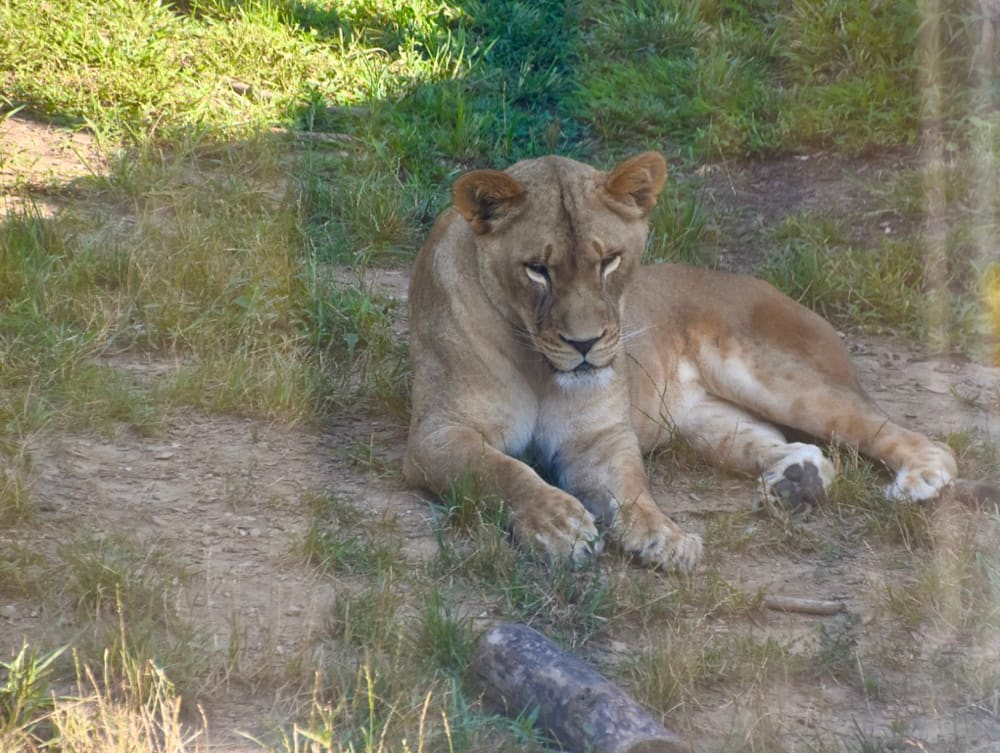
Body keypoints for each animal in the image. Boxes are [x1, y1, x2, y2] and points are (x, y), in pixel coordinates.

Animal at [403, 151, 958, 571]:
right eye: (537, 269)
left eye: (609, 261)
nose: (584, 344)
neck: (539, 365)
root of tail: (772, 288)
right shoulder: (437, 434)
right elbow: (500, 470)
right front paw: (558, 523)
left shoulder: (599, 436)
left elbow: (632, 487)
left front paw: (662, 536)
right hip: (702, 423)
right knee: (792, 444)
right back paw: (796, 481)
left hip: (778, 380)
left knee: (908, 437)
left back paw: (919, 477)